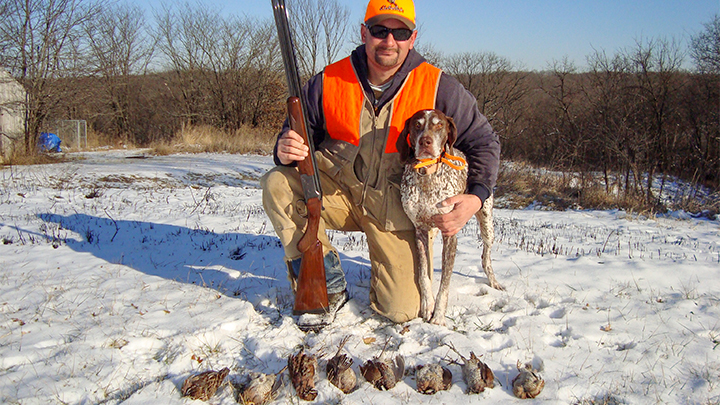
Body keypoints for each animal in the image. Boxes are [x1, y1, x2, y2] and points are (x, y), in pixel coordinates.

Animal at [394, 108, 500, 326]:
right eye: (417, 125)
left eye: (439, 125)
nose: (425, 141)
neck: (427, 176)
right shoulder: (419, 230)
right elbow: (423, 274)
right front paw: (427, 305)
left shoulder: (450, 233)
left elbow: (445, 282)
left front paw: (439, 316)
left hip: (486, 221)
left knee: (486, 255)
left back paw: (493, 280)